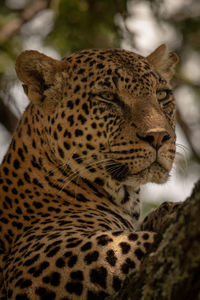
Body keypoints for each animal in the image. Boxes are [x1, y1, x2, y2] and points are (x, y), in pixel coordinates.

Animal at [0, 43, 180, 298]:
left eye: (162, 95)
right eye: (107, 97)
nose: (159, 136)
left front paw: (167, 211)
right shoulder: (34, 267)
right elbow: (133, 242)